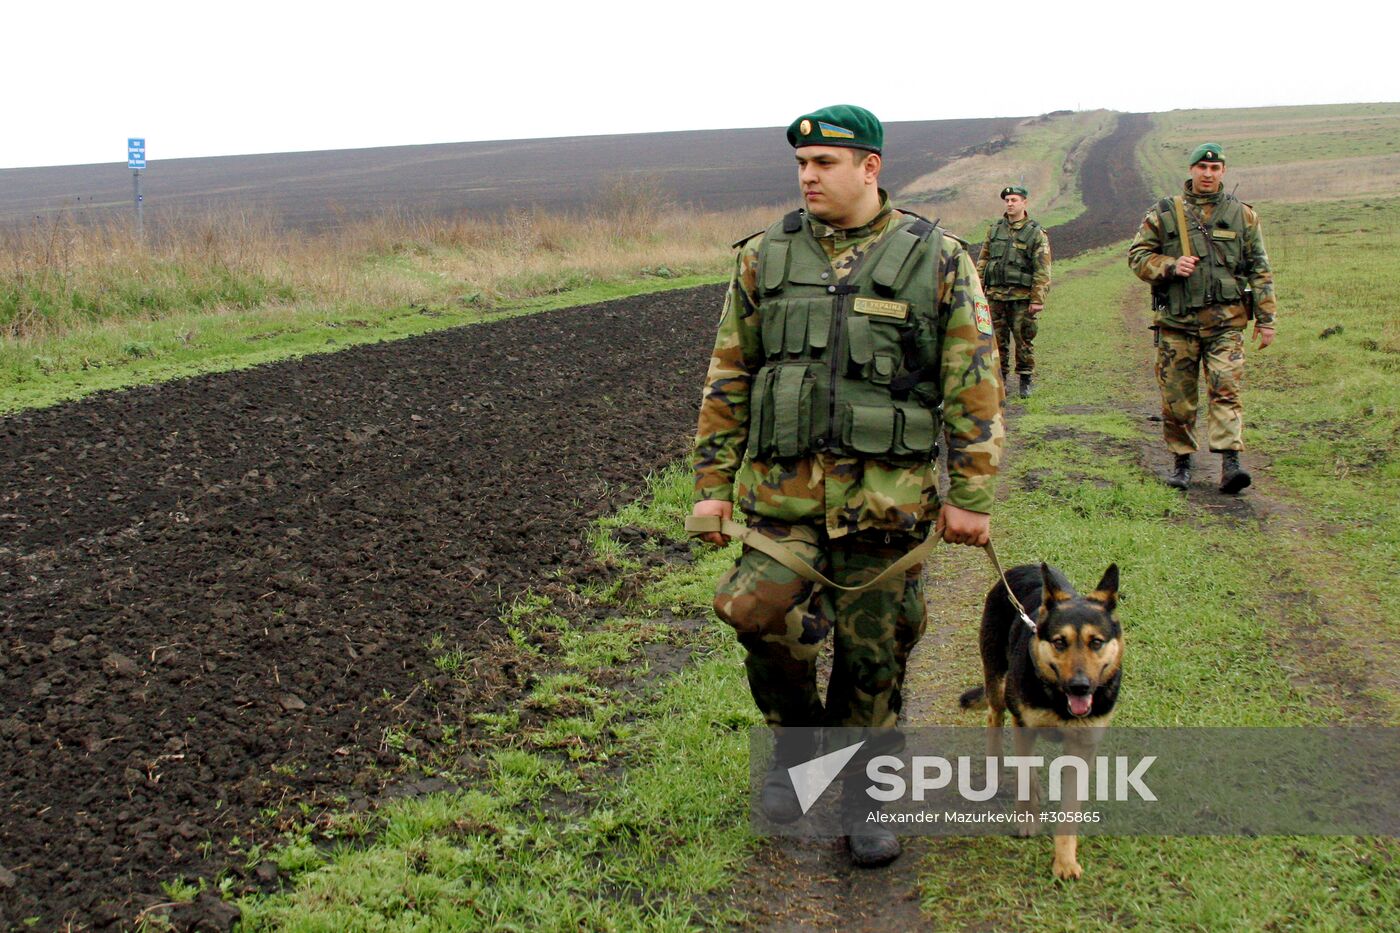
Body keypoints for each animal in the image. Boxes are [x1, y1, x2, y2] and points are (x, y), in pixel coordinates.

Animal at [957, 560, 1120, 879]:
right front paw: (1027, 818)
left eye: (1096, 642)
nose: (1080, 687)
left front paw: (1065, 860)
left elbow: (1069, 809)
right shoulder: (1024, 726)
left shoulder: (1082, 747)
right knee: (994, 717)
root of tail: (1024, 566)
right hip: (998, 685)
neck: (1057, 698)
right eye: (1059, 642)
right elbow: (1024, 776)